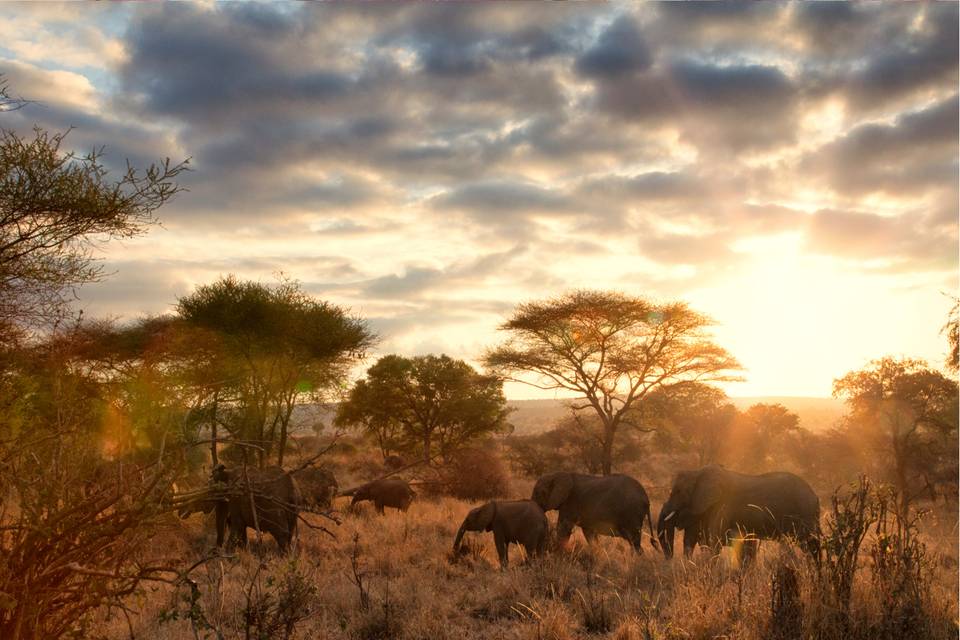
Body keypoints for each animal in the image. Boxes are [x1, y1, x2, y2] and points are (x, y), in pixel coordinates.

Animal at [528, 470, 656, 552]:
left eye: (538, 493)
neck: (558, 474)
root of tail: (646, 498)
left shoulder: (570, 502)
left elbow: (563, 528)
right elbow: (589, 533)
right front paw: (596, 552)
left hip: (631, 513)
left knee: (634, 541)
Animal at [656, 462, 820, 564]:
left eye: (677, 492)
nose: (669, 559)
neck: (698, 472)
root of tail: (814, 495)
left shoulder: (723, 506)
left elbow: (713, 542)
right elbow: (693, 540)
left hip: (804, 513)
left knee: (809, 544)